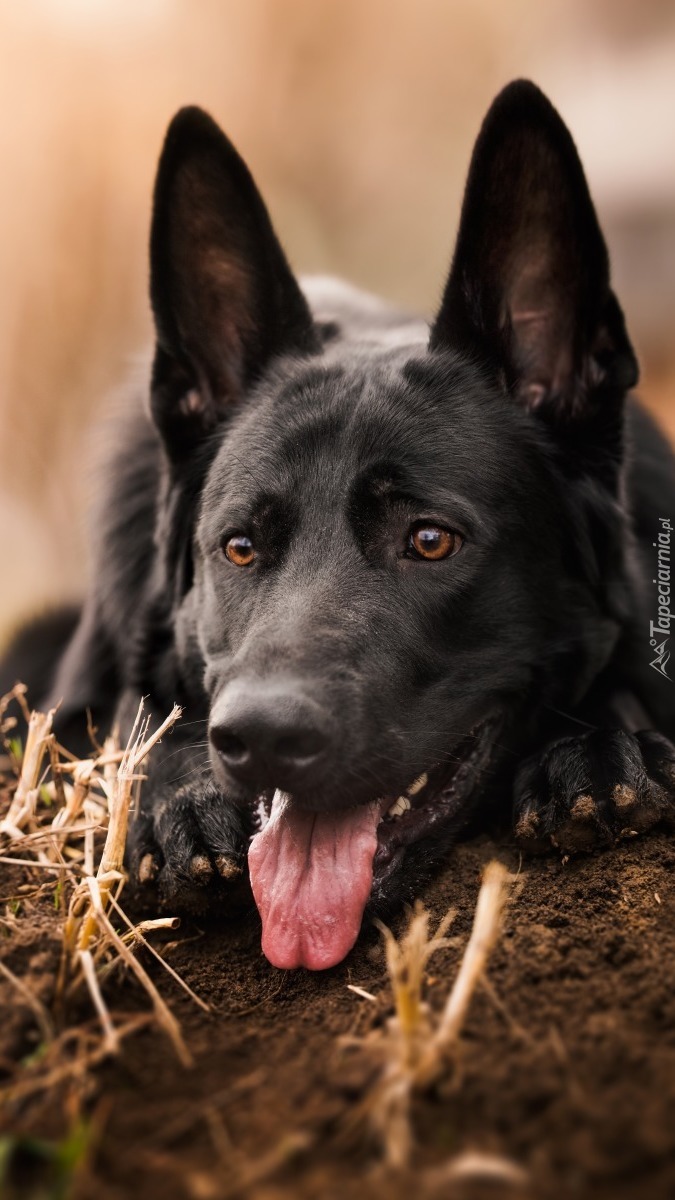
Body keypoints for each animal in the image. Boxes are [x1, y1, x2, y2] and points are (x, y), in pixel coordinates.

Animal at [3, 79, 667, 969]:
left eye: (429, 540)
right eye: (238, 548)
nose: (261, 738)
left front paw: (597, 749)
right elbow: (134, 721)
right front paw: (184, 802)